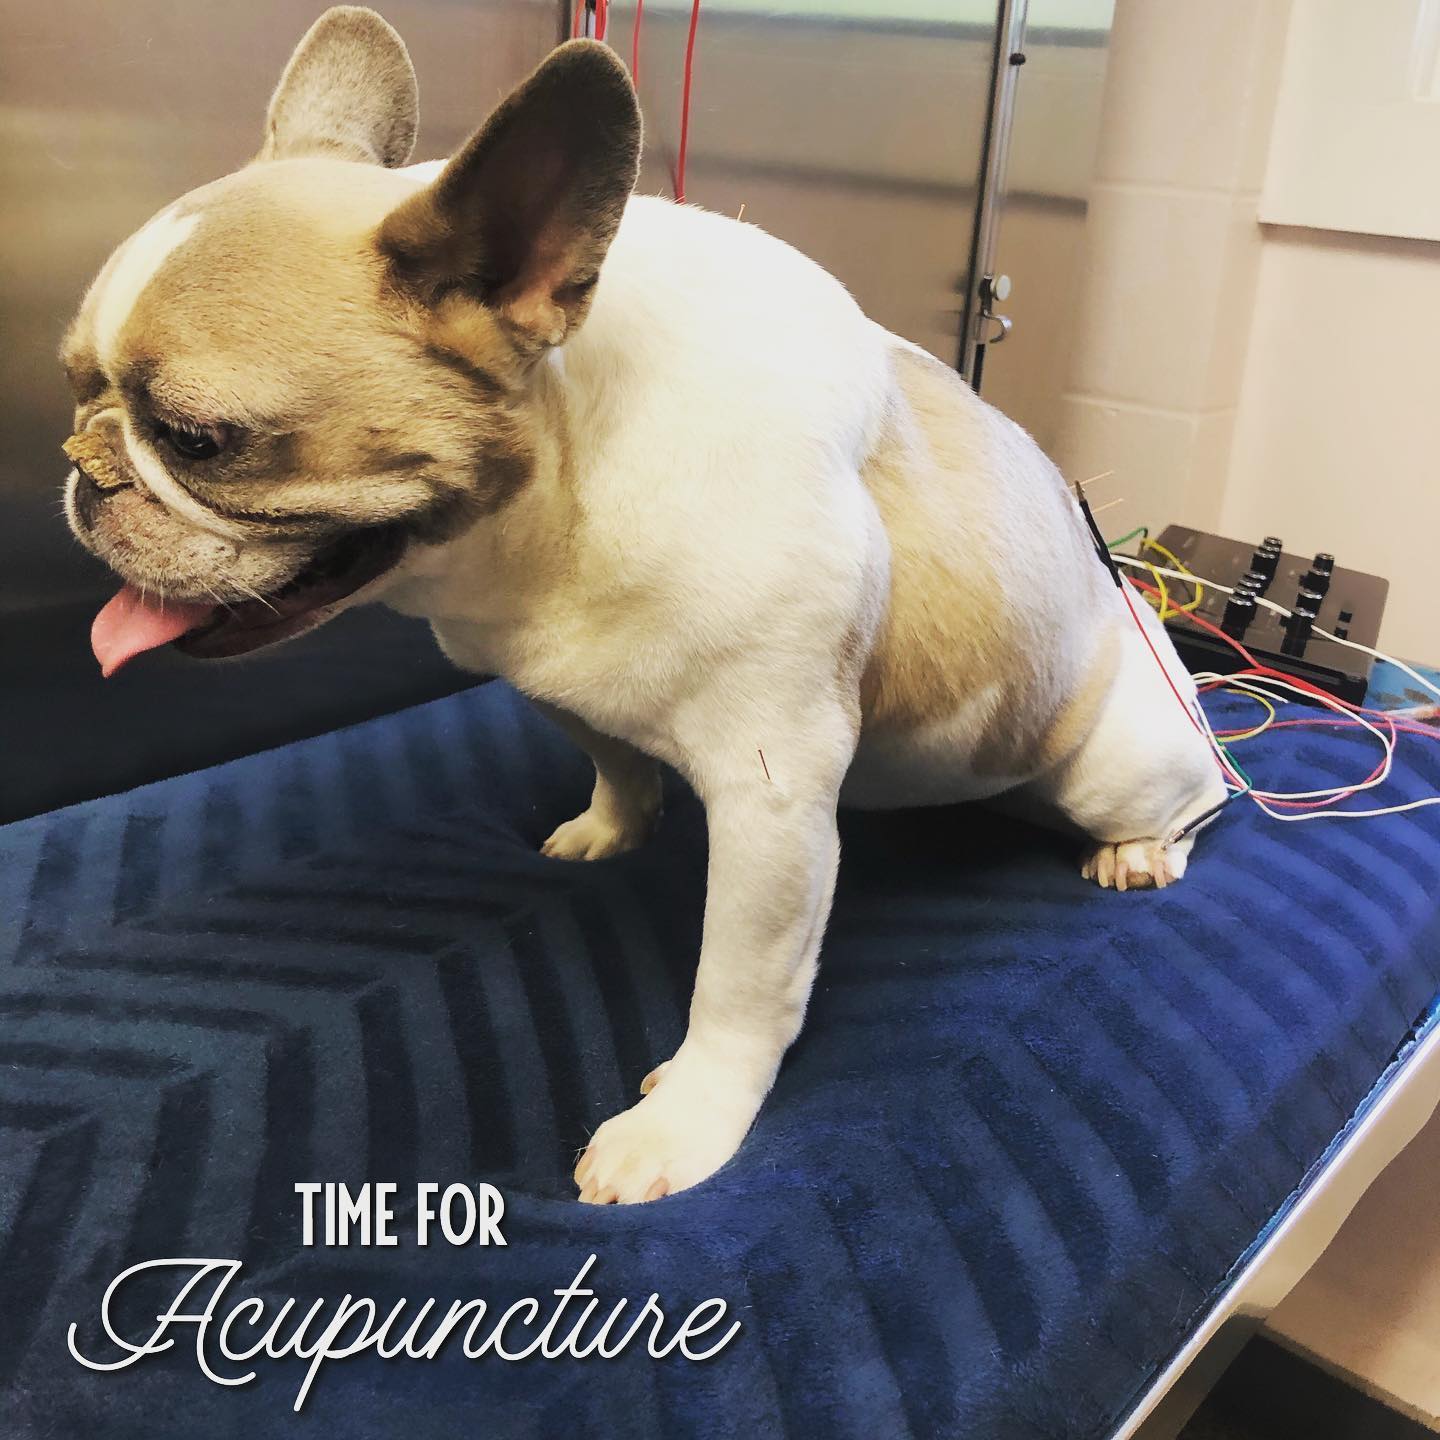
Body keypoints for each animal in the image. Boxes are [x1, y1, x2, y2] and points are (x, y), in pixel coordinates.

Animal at [59, 8, 1224, 1204]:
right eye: (75, 387)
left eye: (198, 440)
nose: (83, 468)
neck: (567, 479)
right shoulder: (549, 677)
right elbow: (614, 758)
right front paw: (612, 825)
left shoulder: (772, 802)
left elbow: (741, 987)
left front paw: (687, 1121)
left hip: (1114, 765)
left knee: (1200, 800)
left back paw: (1144, 848)